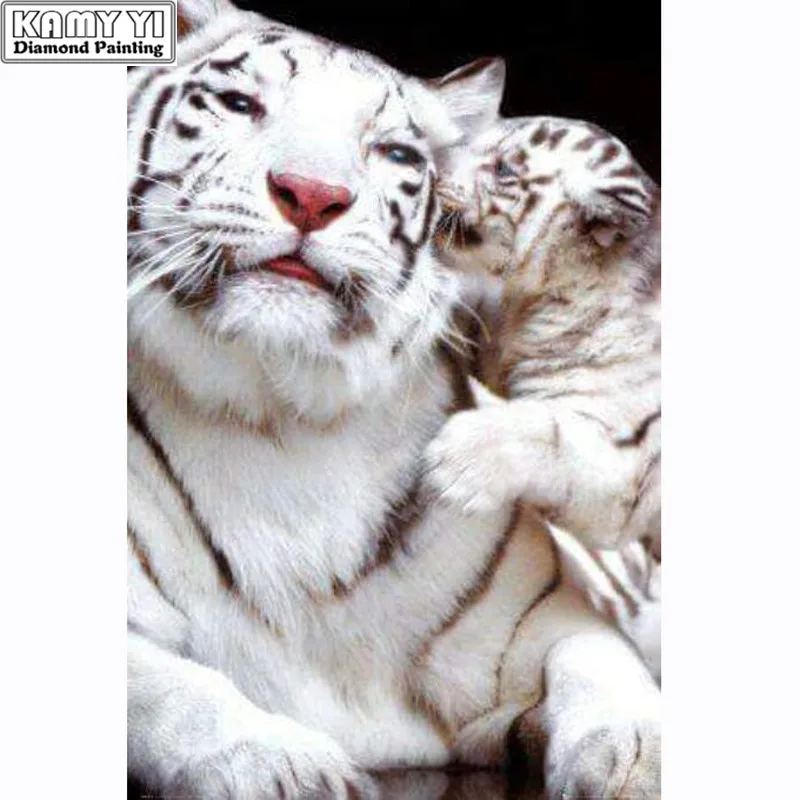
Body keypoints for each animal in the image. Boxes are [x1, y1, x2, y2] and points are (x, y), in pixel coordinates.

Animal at [127, 2, 661, 797]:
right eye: (240, 105)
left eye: (394, 153)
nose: (312, 195)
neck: (283, 414)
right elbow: (168, 686)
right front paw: (276, 762)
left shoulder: (554, 611)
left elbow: (600, 662)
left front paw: (634, 752)